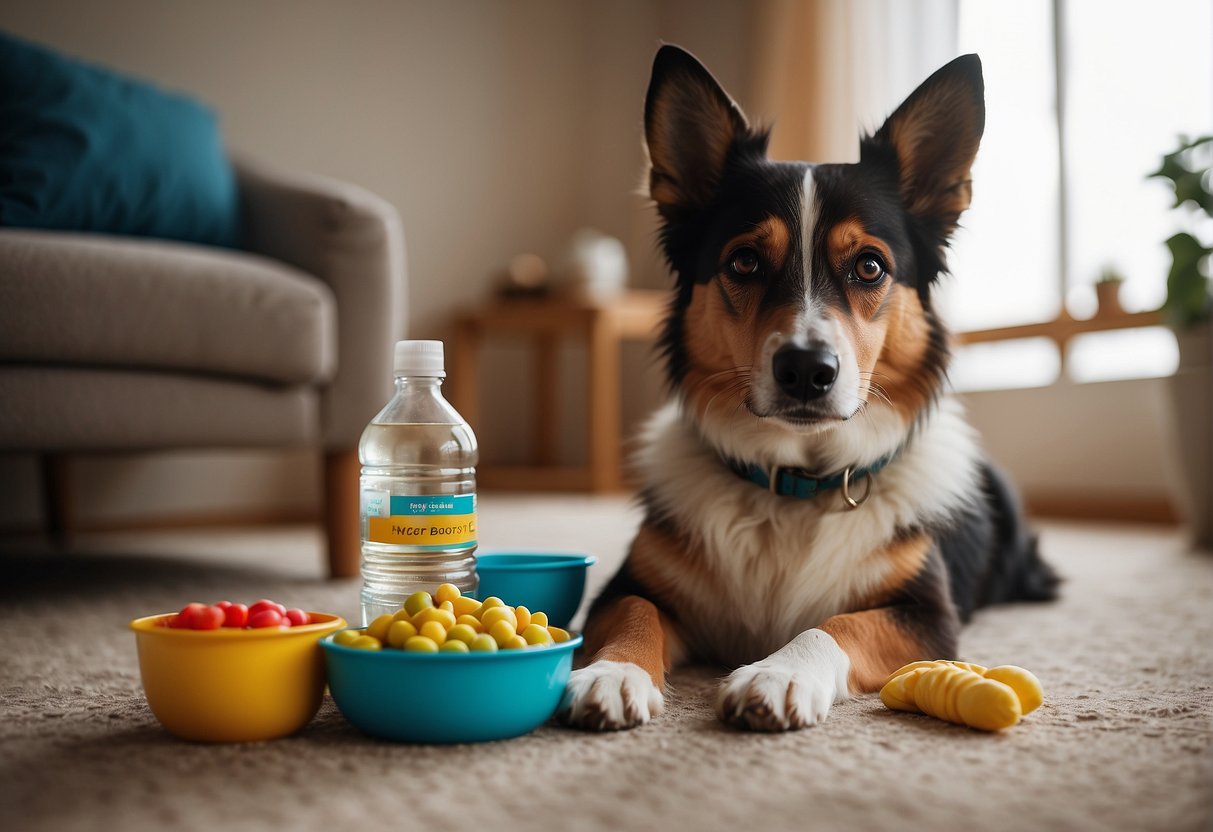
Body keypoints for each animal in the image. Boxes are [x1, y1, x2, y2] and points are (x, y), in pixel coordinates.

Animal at [555, 47, 1057, 737]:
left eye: (869, 266)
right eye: (743, 261)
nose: (806, 370)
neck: (795, 487)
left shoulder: (928, 614)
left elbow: (835, 623)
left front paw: (780, 674)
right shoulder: (629, 584)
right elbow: (636, 612)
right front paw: (613, 673)